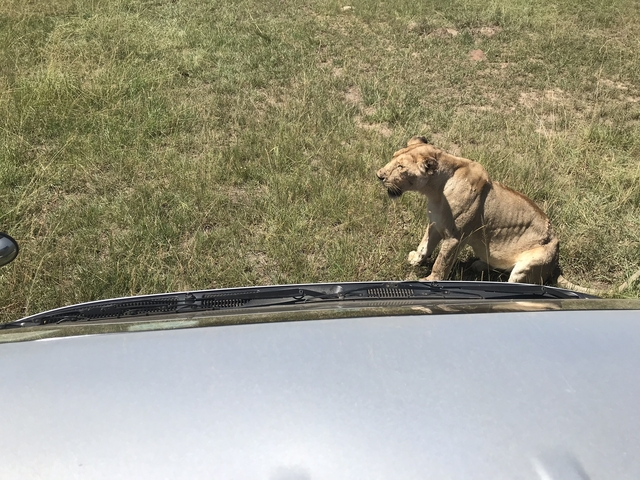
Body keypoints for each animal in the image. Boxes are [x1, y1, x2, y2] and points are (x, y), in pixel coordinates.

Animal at [376, 136, 560, 285]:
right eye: (393, 157)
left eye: (400, 167)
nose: (379, 175)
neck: (435, 191)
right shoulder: (435, 223)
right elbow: (425, 245)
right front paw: (415, 259)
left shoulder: (455, 237)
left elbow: (441, 262)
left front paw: (430, 280)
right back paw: (479, 264)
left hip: (529, 264)